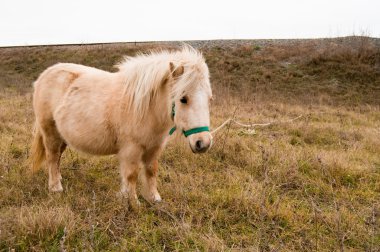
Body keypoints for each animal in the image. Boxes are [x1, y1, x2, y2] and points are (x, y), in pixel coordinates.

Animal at [30, 46, 212, 206]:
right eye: (183, 99)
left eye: (209, 99)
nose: (203, 143)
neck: (146, 107)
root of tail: (43, 76)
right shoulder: (131, 149)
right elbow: (131, 175)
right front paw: (132, 202)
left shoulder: (154, 148)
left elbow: (151, 171)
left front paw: (154, 198)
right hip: (50, 132)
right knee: (52, 156)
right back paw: (56, 188)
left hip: (62, 136)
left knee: (57, 158)